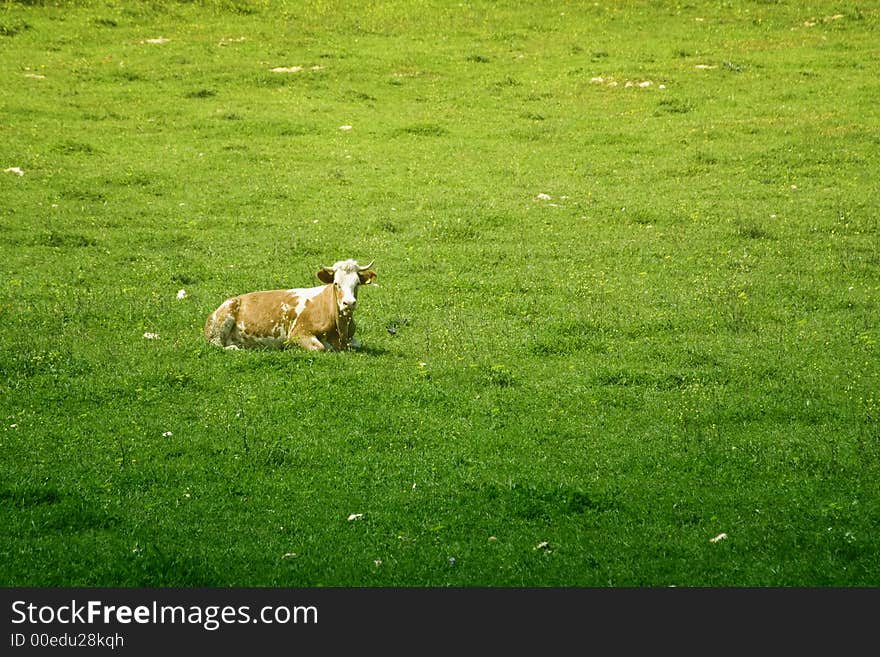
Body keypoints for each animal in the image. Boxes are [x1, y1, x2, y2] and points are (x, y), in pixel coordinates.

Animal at [205, 258, 376, 354]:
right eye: (336, 283)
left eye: (357, 283)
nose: (349, 303)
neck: (340, 329)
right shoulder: (298, 333)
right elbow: (319, 347)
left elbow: (357, 344)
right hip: (221, 322)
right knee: (216, 344)